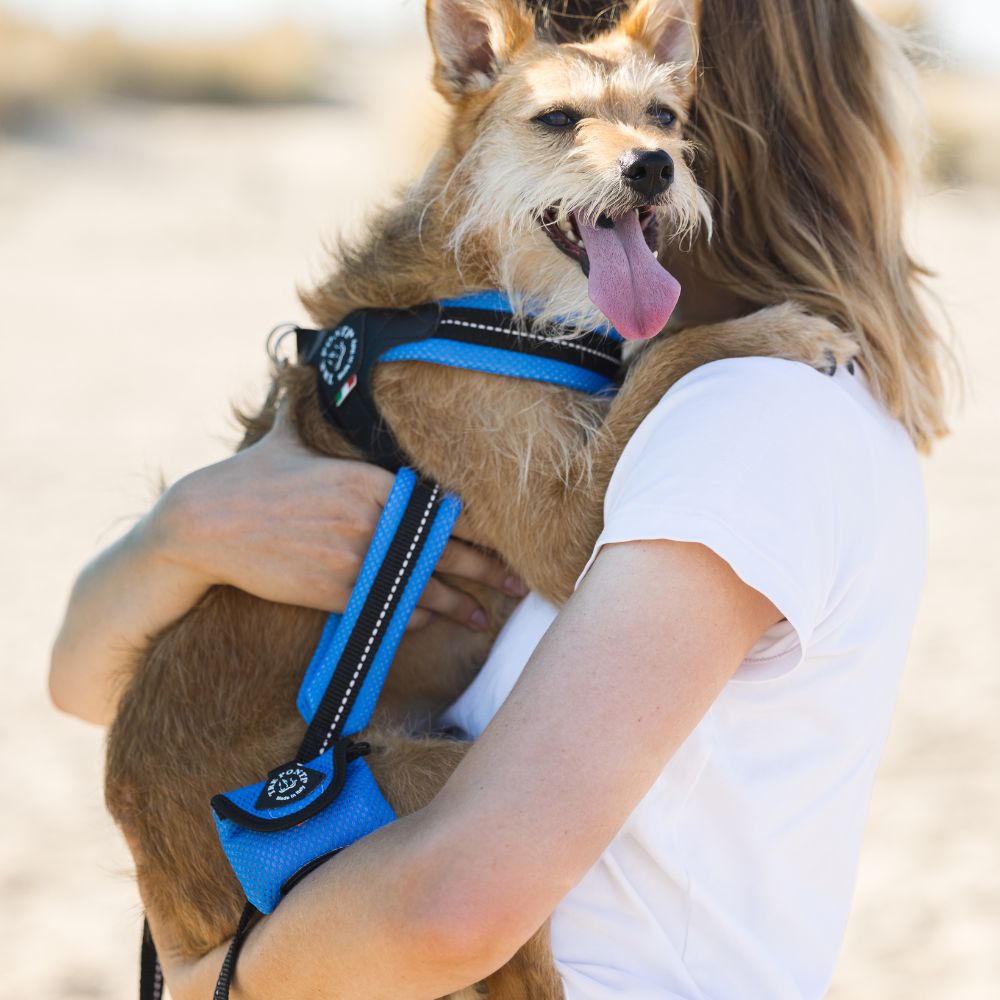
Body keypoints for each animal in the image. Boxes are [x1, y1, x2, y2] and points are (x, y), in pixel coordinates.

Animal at [105, 0, 856, 996]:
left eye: (663, 118)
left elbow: (651, 355)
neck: (488, 289)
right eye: (557, 120)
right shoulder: (561, 542)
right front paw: (778, 328)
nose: (653, 168)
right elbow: (666, 353)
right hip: (426, 790)